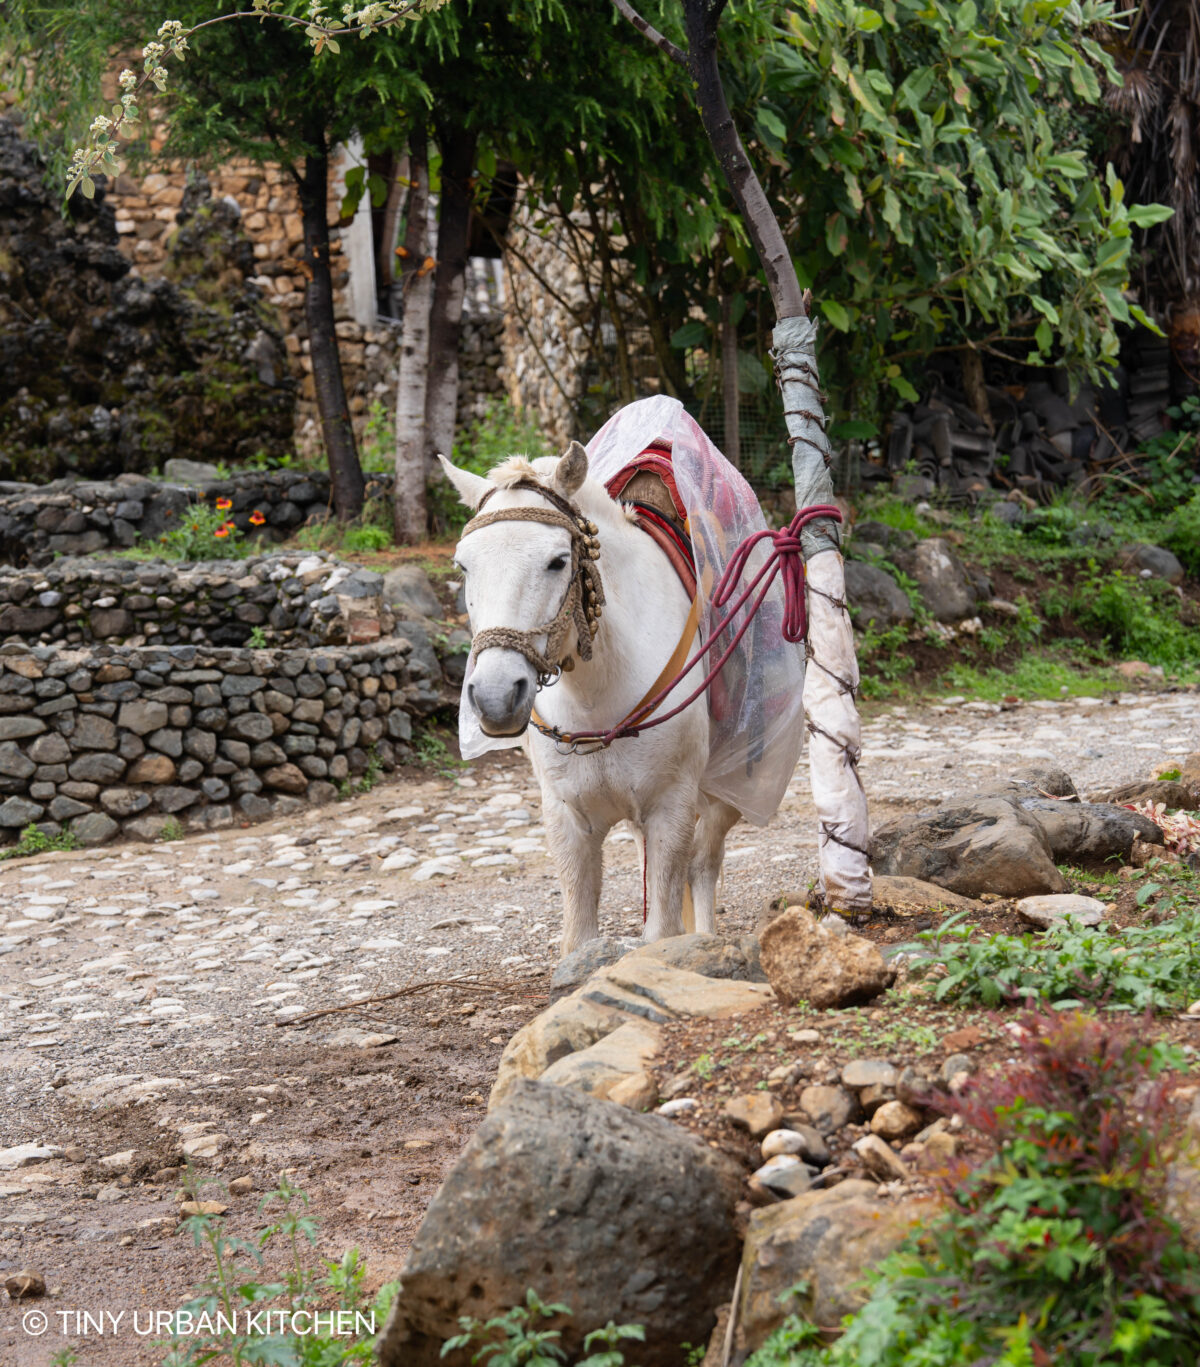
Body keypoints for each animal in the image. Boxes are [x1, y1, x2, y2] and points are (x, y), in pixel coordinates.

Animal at [442, 442, 743, 956]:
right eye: (464, 566)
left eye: (558, 561)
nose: (496, 696)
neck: (598, 692)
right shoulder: (569, 819)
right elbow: (579, 938)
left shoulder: (671, 806)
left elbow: (661, 928)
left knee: (704, 863)